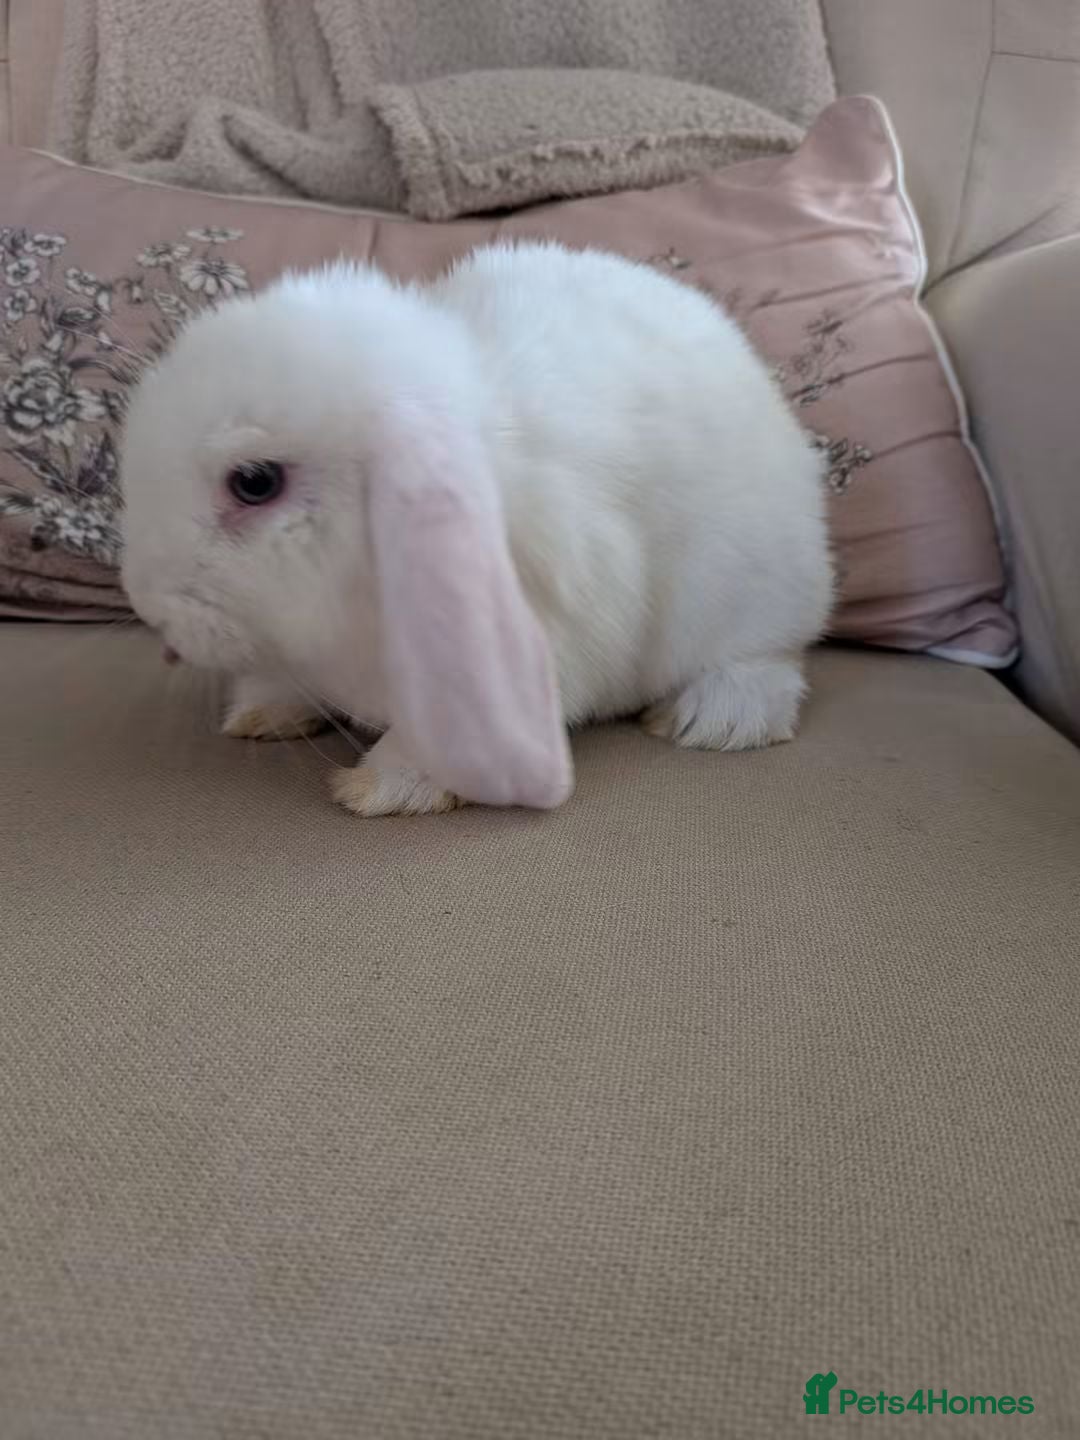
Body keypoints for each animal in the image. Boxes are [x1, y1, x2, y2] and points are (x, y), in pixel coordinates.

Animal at [120, 240, 833, 817]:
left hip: (752, 596)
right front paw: (263, 711)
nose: (149, 611)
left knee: (768, 661)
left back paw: (713, 719)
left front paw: (384, 789)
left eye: (254, 482)